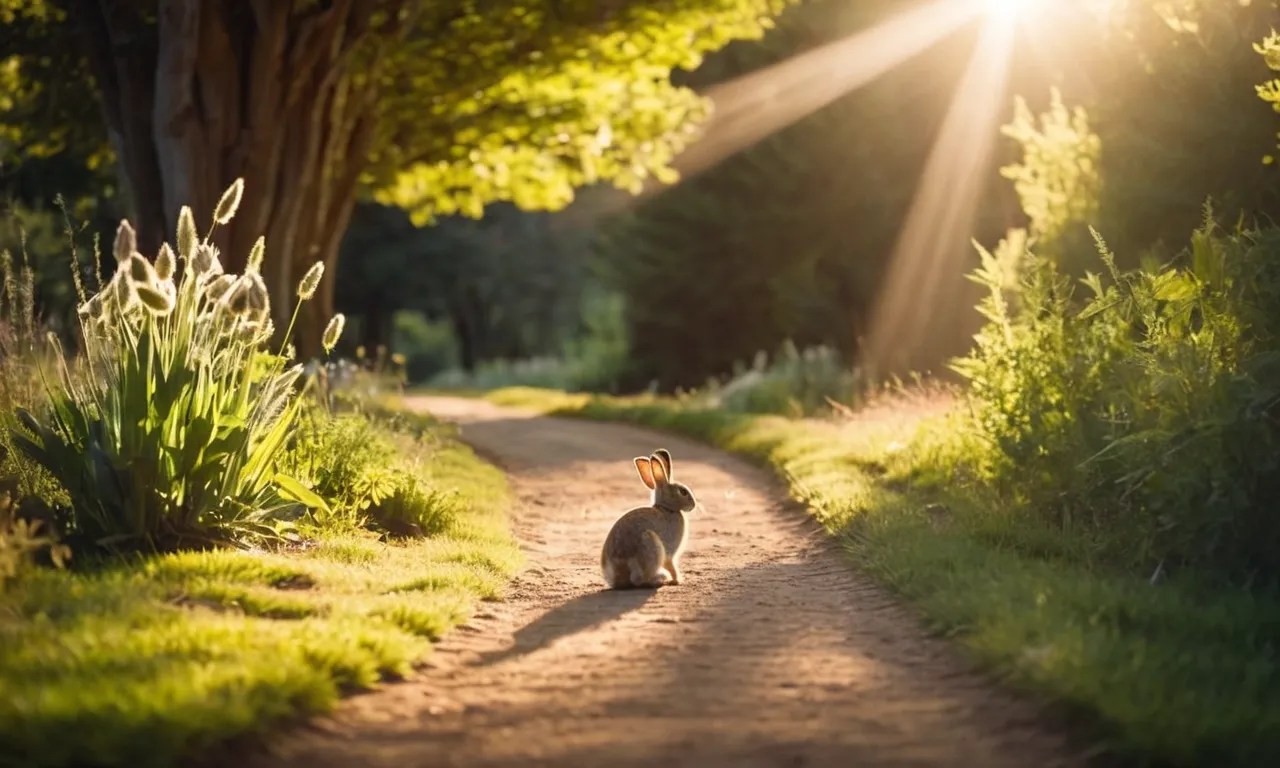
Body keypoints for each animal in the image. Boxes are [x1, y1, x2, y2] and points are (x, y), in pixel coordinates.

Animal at [601, 448, 698, 589]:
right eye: (683, 492)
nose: (693, 505)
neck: (667, 508)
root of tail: (616, 573)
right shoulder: (669, 553)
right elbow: (671, 566)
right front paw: (677, 580)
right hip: (650, 545)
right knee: (639, 580)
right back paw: (660, 579)